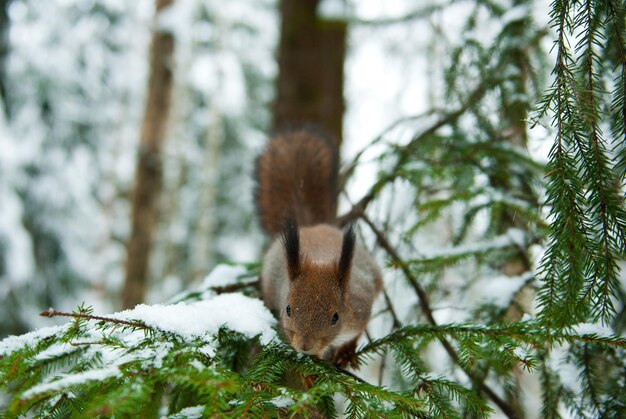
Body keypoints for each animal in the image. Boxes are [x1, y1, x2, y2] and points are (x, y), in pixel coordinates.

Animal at [254, 130, 380, 368]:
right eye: (288, 309)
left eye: (335, 317)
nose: (305, 346)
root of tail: (312, 227)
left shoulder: (362, 308)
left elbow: (358, 332)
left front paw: (347, 351)